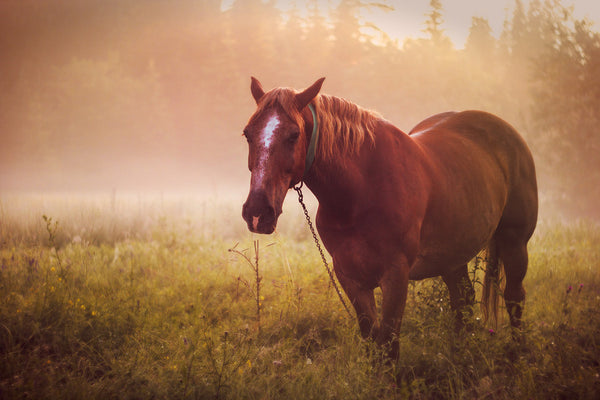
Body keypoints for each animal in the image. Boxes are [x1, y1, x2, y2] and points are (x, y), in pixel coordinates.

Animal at [241, 77, 536, 356]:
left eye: (293, 135)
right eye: (247, 134)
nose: (257, 212)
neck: (360, 192)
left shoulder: (396, 276)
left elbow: (389, 344)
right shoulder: (350, 278)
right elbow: (372, 340)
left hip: (514, 243)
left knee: (514, 296)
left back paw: (518, 352)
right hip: (453, 255)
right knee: (462, 299)